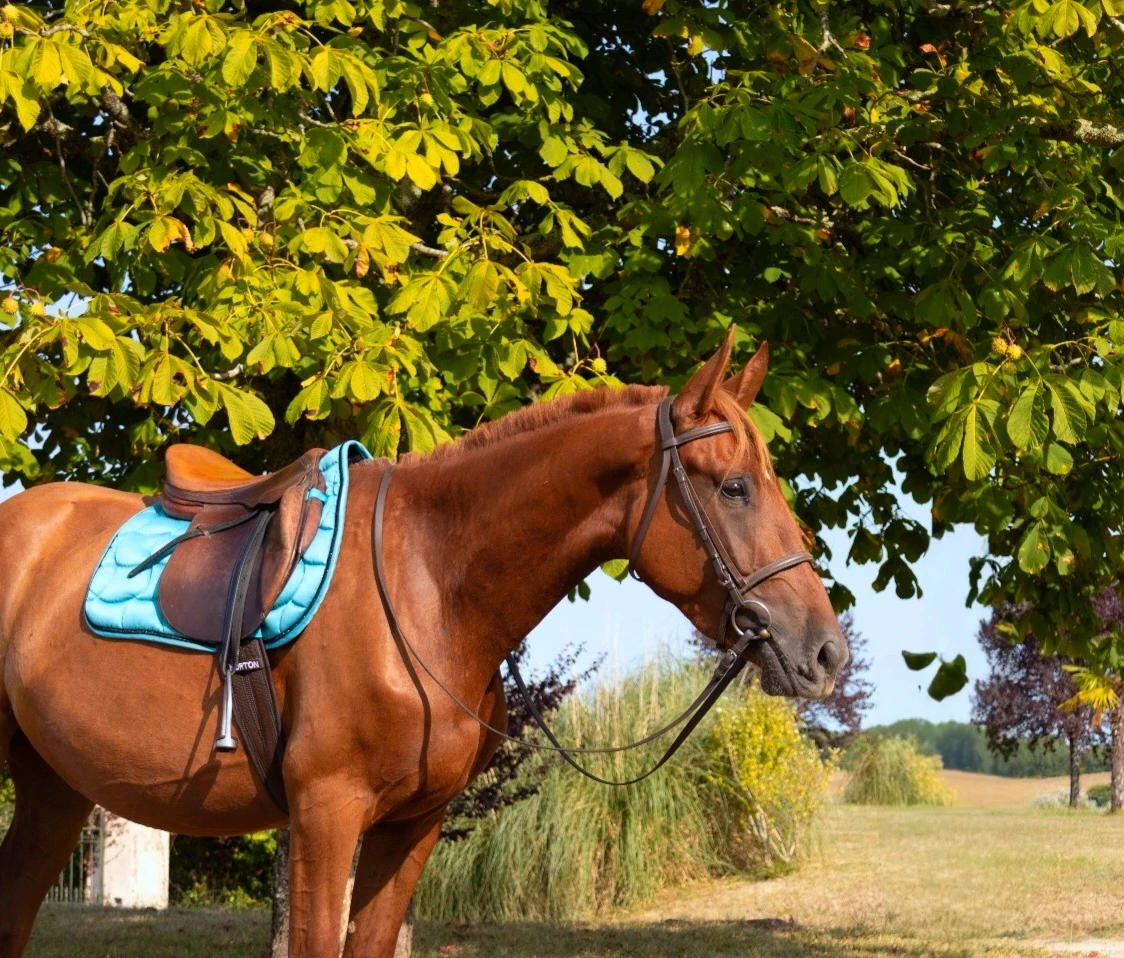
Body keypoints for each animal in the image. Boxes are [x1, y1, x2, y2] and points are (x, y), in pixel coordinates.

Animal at [0, 331, 847, 957]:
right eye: (733, 487)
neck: (429, 588)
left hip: (54, 787)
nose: (825, 653)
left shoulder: (412, 826)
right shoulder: (326, 815)